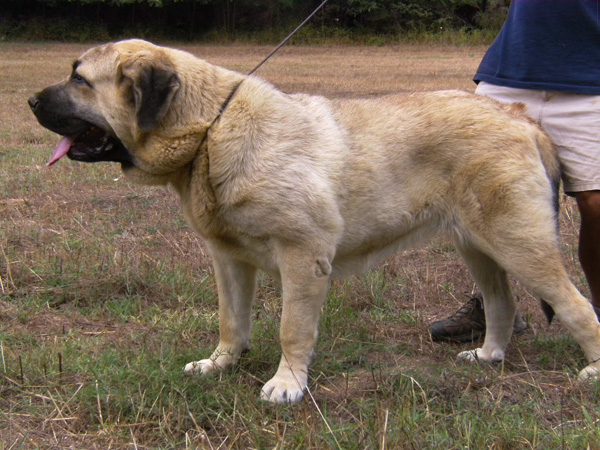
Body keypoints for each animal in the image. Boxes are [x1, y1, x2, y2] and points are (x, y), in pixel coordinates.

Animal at [28, 40, 600, 402]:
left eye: (79, 80)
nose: (30, 98)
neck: (211, 130)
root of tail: (520, 118)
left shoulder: (303, 257)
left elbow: (291, 329)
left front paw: (287, 385)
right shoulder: (228, 260)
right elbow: (231, 320)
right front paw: (221, 364)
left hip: (519, 243)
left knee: (577, 307)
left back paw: (591, 369)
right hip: (478, 247)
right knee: (502, 303)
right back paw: (488, 355)